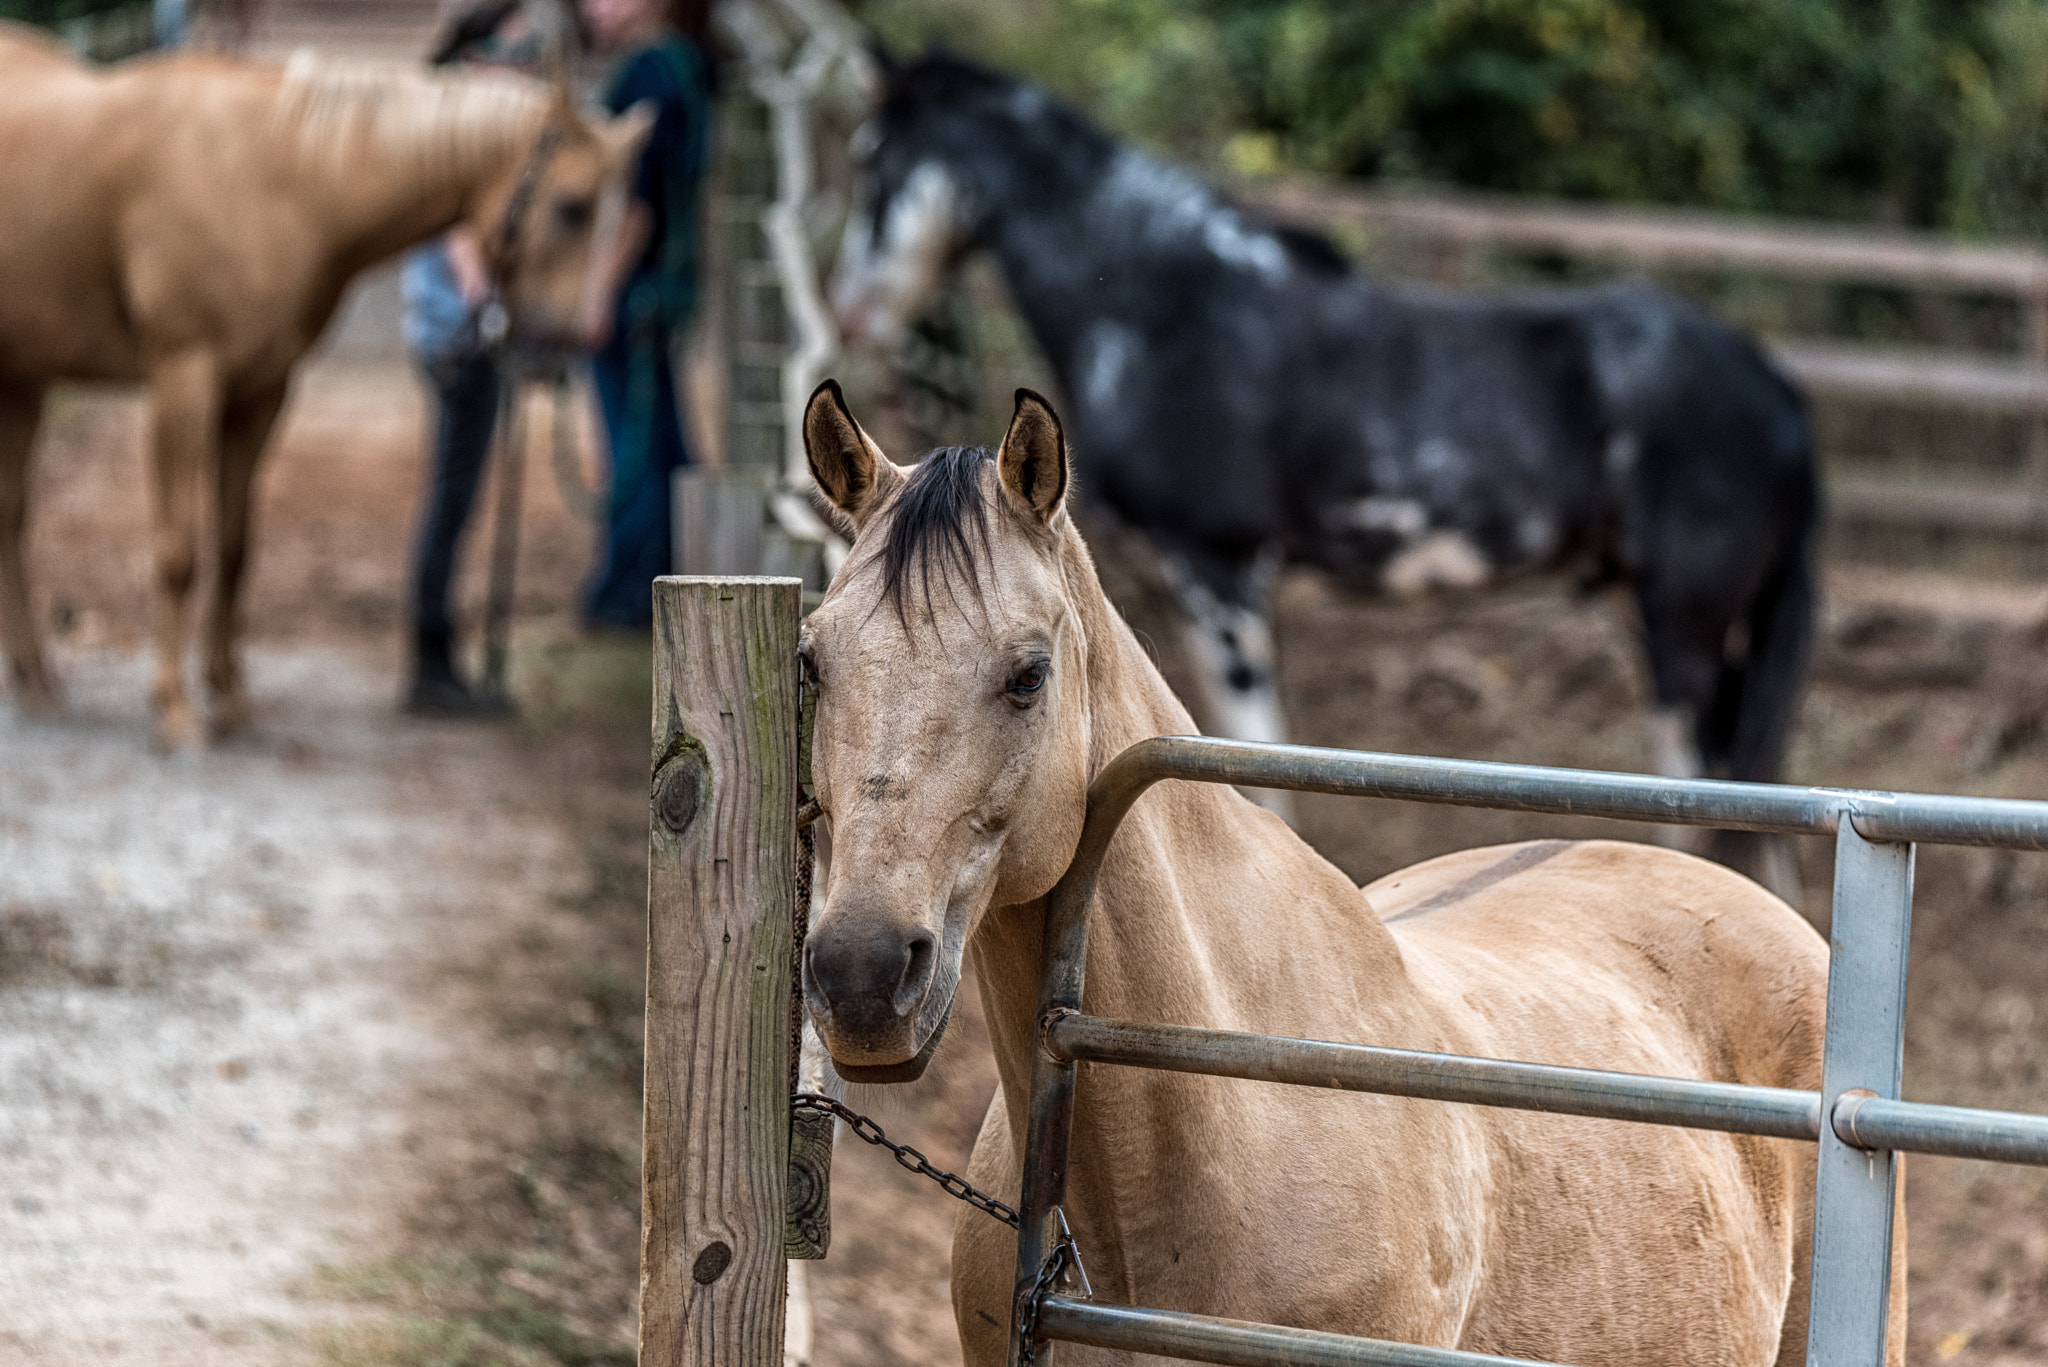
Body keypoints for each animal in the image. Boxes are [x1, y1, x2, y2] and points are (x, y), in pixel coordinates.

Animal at [0, 24, 647, 750]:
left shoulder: (260, 393)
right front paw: (175, 710)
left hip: (22, 380)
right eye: (572, 207)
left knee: (9, 517)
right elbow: (179, 552)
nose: (559, 355)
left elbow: (234, 549)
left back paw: (36, 679)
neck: (278, 179)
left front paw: (230, 699)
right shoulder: (182, 380)